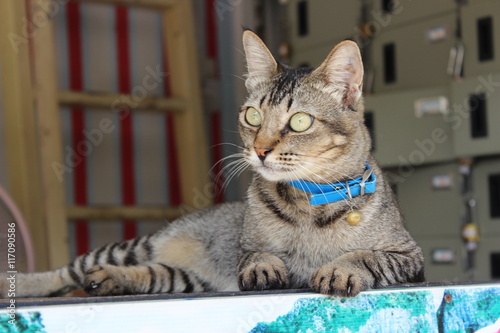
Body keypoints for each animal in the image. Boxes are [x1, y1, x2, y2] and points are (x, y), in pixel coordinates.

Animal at [0, 30, 424, 296]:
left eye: (300, 122)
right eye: (253, 116)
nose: (261, 150)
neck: (308, 202)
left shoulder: (410, 259)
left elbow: (368, 255)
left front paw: (341, 267)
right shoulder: (244, 248)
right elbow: (255, 254)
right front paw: (264, 265)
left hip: (183, 278)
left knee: (149, 275)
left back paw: (110, 280)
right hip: (133, 246)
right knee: (66, 270)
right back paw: (17, 284)